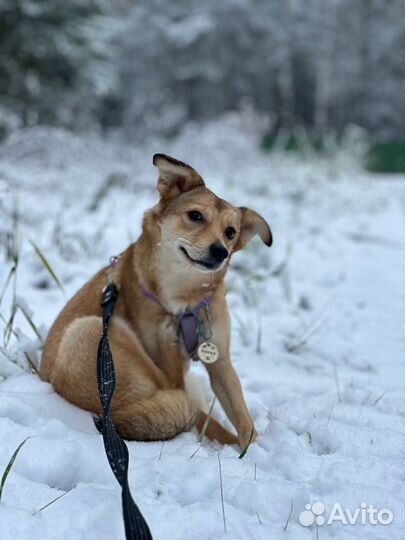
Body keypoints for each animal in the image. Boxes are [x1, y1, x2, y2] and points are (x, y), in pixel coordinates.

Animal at [39, 154, 272, 450]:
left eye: (230, 232)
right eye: (195, 216)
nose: (220, 251)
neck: (185, 299)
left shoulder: (220, 358)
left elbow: (243, 418)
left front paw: (251, 452)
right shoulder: (167, 360)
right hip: (91, 331)